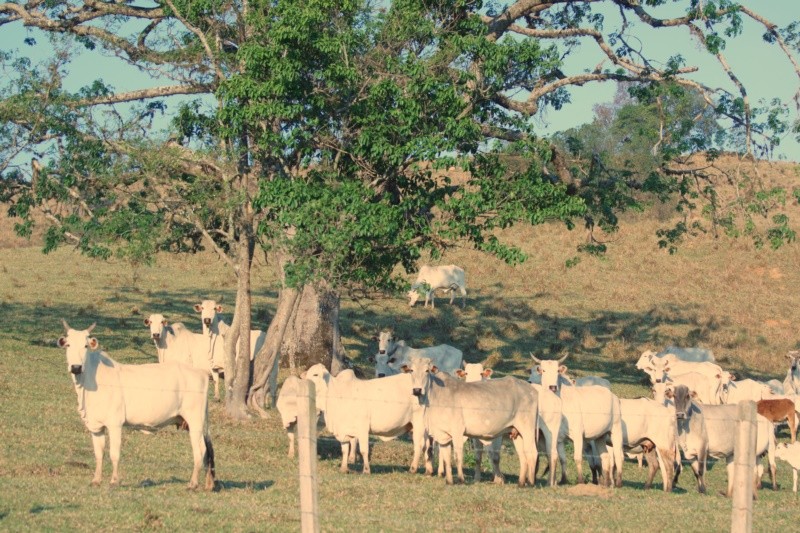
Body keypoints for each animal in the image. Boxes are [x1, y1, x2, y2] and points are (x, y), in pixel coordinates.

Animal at [57, 318, 214, 488]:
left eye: (85, 346)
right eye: (68, 345)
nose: (76, 367)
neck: (89, 382)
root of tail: (201, 373)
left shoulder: (115, 423)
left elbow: (114, 453)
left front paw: (114, 481)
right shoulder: (96, 427)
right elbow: (99, 453)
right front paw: (96, 480)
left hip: (195, 421)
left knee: (200, 450)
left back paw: (193, 483)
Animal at [532, 354, 624, 486]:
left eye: (557, 371)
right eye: (543, 370)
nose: (552, 387)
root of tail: (614, 397)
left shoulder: (578, 434)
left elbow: (577, 458)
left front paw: (580, 481)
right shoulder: (559, 438)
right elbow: (562, 458)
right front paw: (563, 480)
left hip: (616, 430)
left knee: (618, 456)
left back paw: (618, 483)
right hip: (599, 437)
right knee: (605, 457)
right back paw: (606, 484)